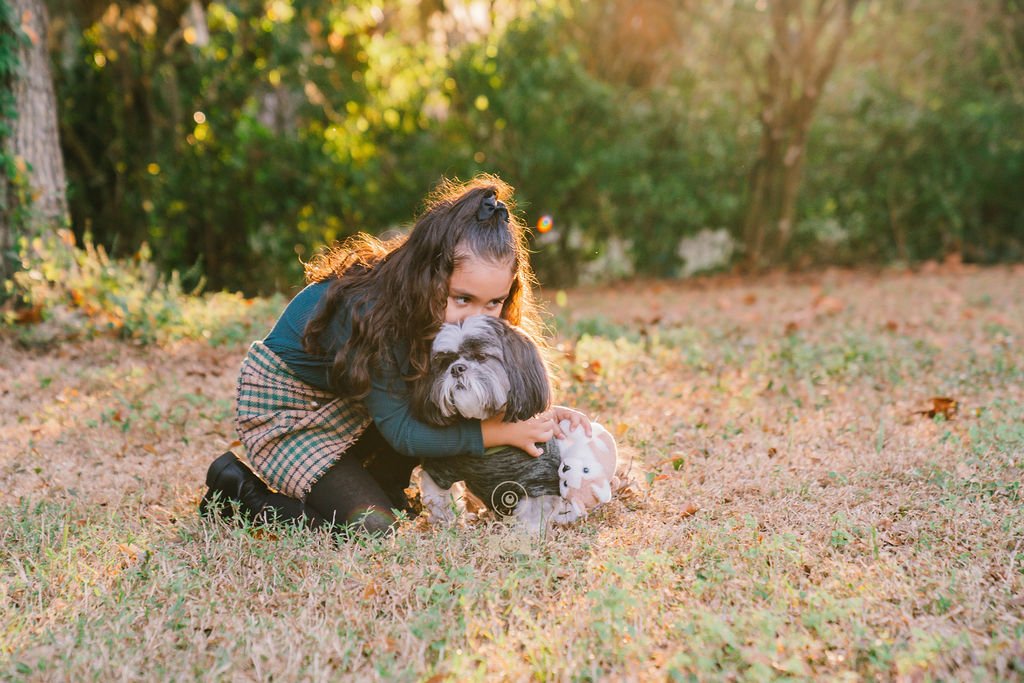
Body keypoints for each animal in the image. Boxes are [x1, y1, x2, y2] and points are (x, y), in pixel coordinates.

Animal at [413, 315, 577, 528]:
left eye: (481, 356)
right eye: (445, 361)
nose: (456, 368)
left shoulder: (538, 479)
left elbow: (533, 512)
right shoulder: (440, 468)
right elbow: (441, 499)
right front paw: (449, 525)